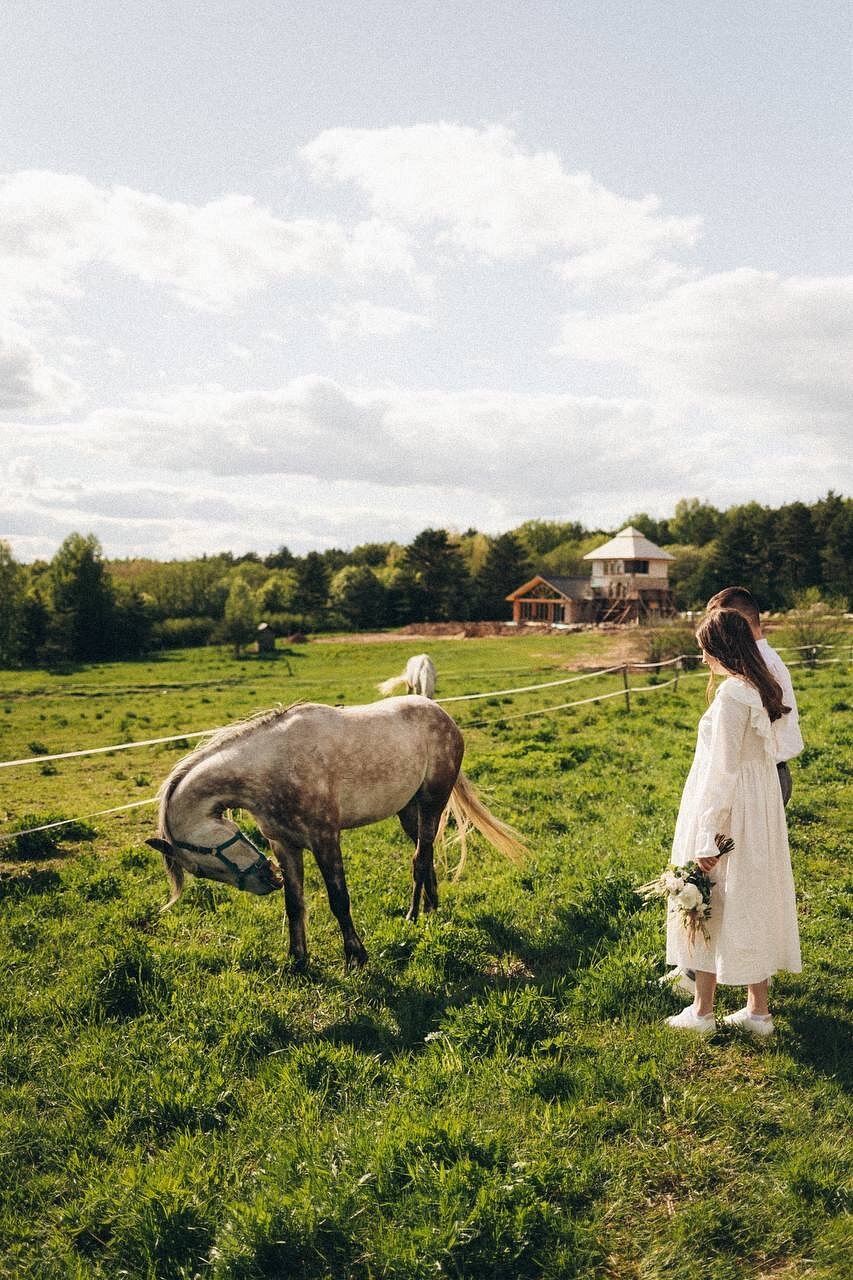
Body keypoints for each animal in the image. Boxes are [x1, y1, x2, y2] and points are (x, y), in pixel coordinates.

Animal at [145, 696, 517, 962]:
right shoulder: (284, 846)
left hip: (431, 805)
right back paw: (430, 908)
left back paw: (413, 916)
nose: (268, 880)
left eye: (200, 866)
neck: (272, 768)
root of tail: (443, 715)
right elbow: (294, 904)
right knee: (425, 857)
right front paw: (297, 961)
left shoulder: (325, 840)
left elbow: (339, 899)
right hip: (408, 811)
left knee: (419, 860)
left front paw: (355, 955)